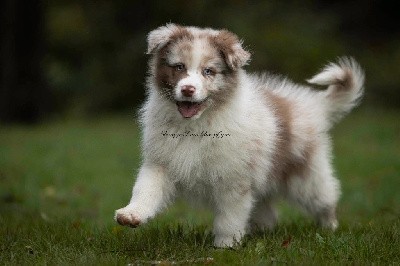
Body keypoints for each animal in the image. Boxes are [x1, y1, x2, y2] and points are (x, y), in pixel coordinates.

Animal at [114, 22, 364, 247]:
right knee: (266, 210)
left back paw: (329, 228)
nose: (187, 90)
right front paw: (131, 214)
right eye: (178, 67)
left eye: (208, 71)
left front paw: (226, 246)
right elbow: (146, 189)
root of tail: (312, 104)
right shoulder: (161, 162)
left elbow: (230, 217)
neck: (196, 125)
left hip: (306, 176)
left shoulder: (234, 178)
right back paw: (259, 231)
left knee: (325, 199)